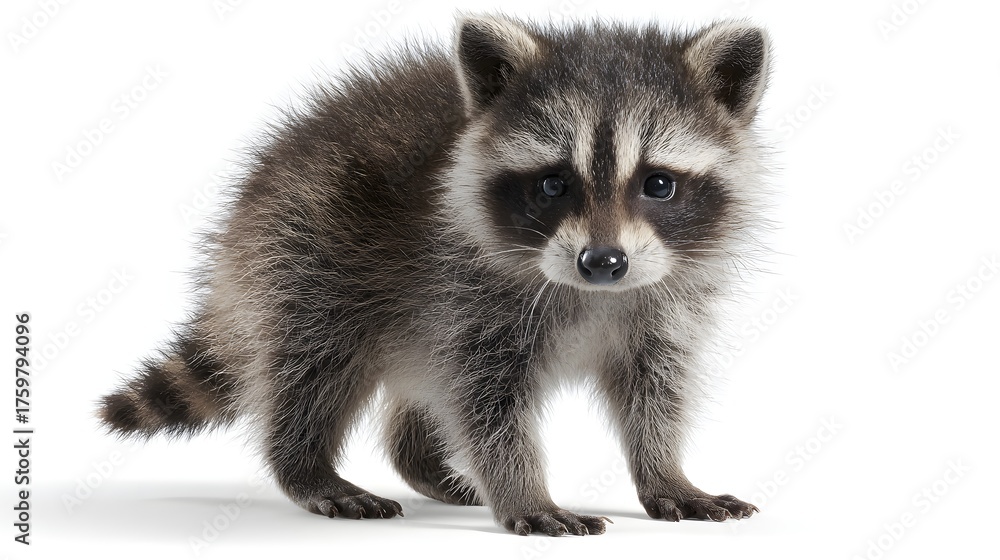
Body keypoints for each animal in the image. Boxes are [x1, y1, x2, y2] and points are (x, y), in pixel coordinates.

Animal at [99, 14, 772, 536]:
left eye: (657, 183)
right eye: (554, 184)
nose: (603, 261)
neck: (590, 292)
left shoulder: (665, 304)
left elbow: (655, 391)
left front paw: (664, 471)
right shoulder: (463, 286)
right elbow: (486, 404)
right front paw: (523, 488)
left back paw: (421, 460)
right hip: (306, 246)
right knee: (312, 361)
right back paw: (305, 465)